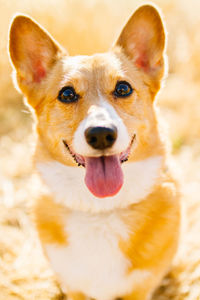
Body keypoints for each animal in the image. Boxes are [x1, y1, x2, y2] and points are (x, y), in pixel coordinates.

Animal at [9, 4, 181, 300]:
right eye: (66, 94)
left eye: (123, 88)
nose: (101, 133)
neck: (100, 209)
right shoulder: (75, 288)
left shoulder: (140, 289)